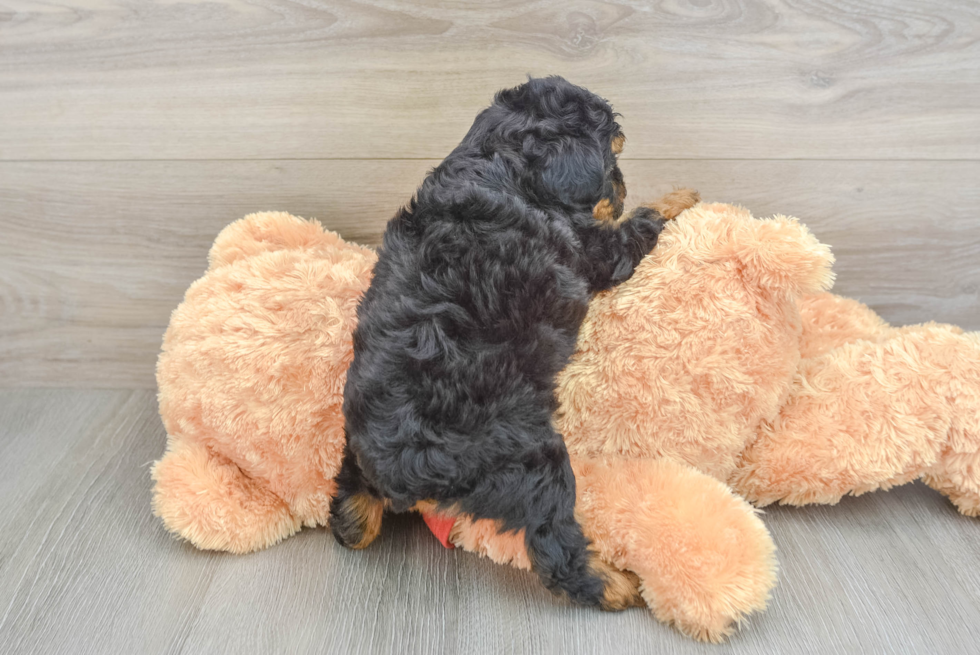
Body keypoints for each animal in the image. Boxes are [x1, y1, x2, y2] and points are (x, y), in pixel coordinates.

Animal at [332, 77, 668, 608]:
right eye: (611, 157)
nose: (621, 186)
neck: (500, 168)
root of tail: (405, 471)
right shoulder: (594, 250)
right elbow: (638, 228)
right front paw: (678, 197)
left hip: (356, 447)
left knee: (349, 503)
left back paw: (353, 519)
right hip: (529, 460)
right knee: (554, 544)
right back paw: (612, 584)